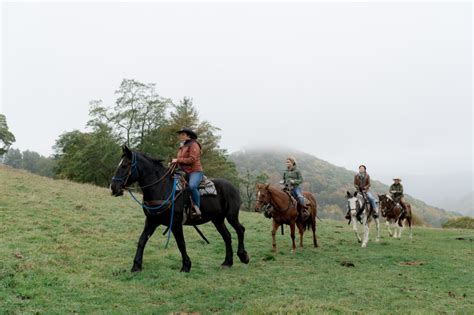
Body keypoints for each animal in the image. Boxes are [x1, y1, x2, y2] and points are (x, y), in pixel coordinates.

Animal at [109, 147, 250, 272]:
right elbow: (142, 240)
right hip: (217, 220)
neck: (162, 188)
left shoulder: (176, 223)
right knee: (227, 236)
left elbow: (181, 243)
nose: (113, 187)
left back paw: (243, 256)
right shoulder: (151, 221)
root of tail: (232, 187)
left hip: (231, 216)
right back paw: (227, 262)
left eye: (125, 165)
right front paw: (136, 266)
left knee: (240, 230)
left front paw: (186, 266)